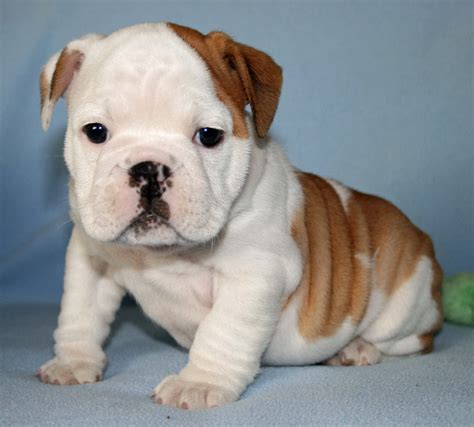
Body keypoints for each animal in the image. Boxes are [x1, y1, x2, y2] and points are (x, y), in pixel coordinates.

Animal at [38, 23, 444, 412]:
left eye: (209, 135)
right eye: (96, 132)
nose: (149, 169)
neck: (163, 254)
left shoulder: (255, 273)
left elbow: (223, 330)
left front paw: (198, 383)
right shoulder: (91, 258)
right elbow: (81, 312)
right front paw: (73, 361)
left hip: (405, 303)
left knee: (408, 340)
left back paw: (357, 347)